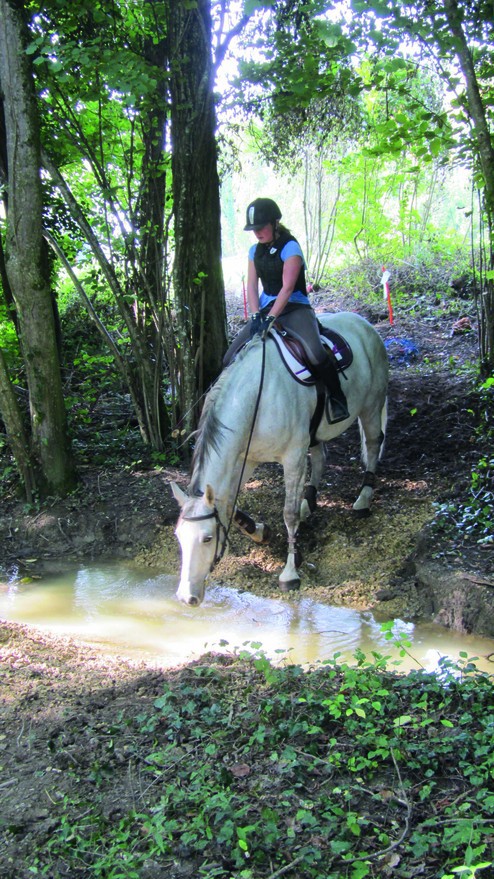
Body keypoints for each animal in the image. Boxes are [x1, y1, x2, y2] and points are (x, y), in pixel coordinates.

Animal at [172, 312, 388, 608]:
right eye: (179, 537)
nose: (186, 597)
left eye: (207, 538)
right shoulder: (245, 457)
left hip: (370, 406)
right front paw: (260, 531)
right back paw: (308, 502)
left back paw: (363, 499)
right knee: (320, 458)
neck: (255, 399)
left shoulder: (293, 456)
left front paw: (290, 571)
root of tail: (364, 323)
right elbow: (230, 504)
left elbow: (288, 513)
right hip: (315, 432)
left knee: (374, 442)